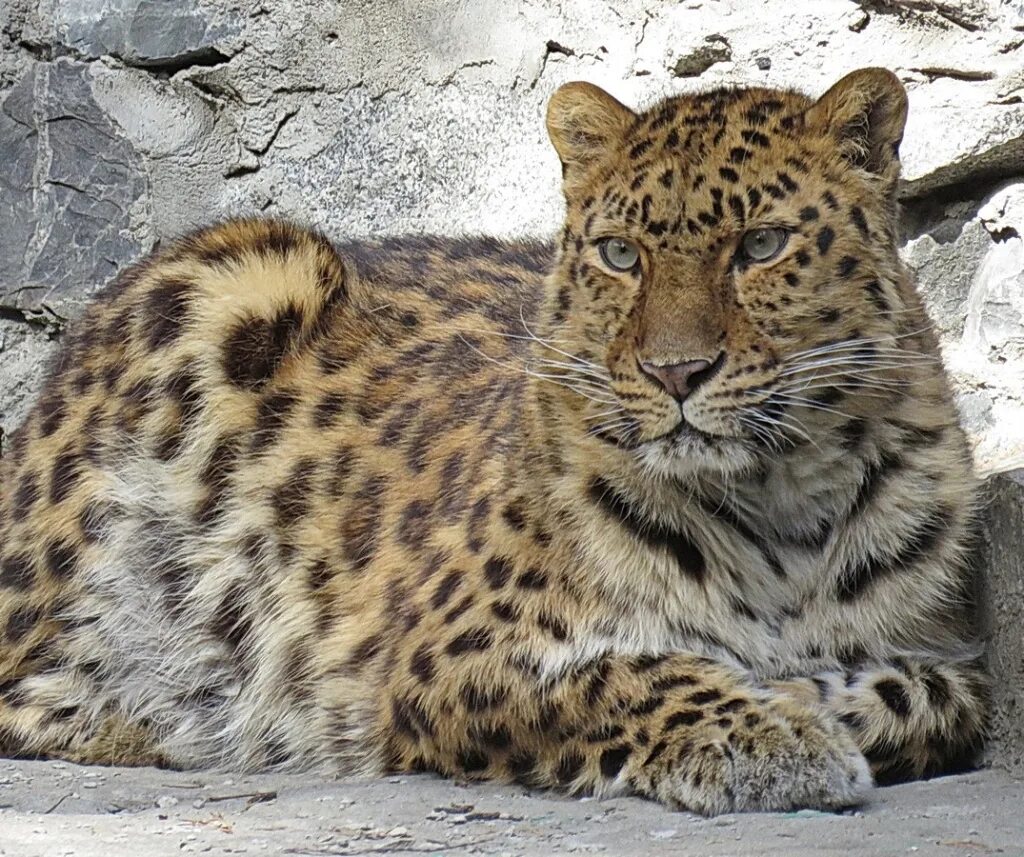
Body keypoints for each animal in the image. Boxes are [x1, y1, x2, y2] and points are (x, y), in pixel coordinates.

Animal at [2, 68, 991, 815]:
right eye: (621, 255)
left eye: (763, 245)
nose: (677, 373)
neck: (778, 500)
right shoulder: (443, 656)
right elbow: (630, 678)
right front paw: (772, 731)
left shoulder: (950, 655)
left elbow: (931, 700)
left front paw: (801, 696)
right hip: (244, 270)